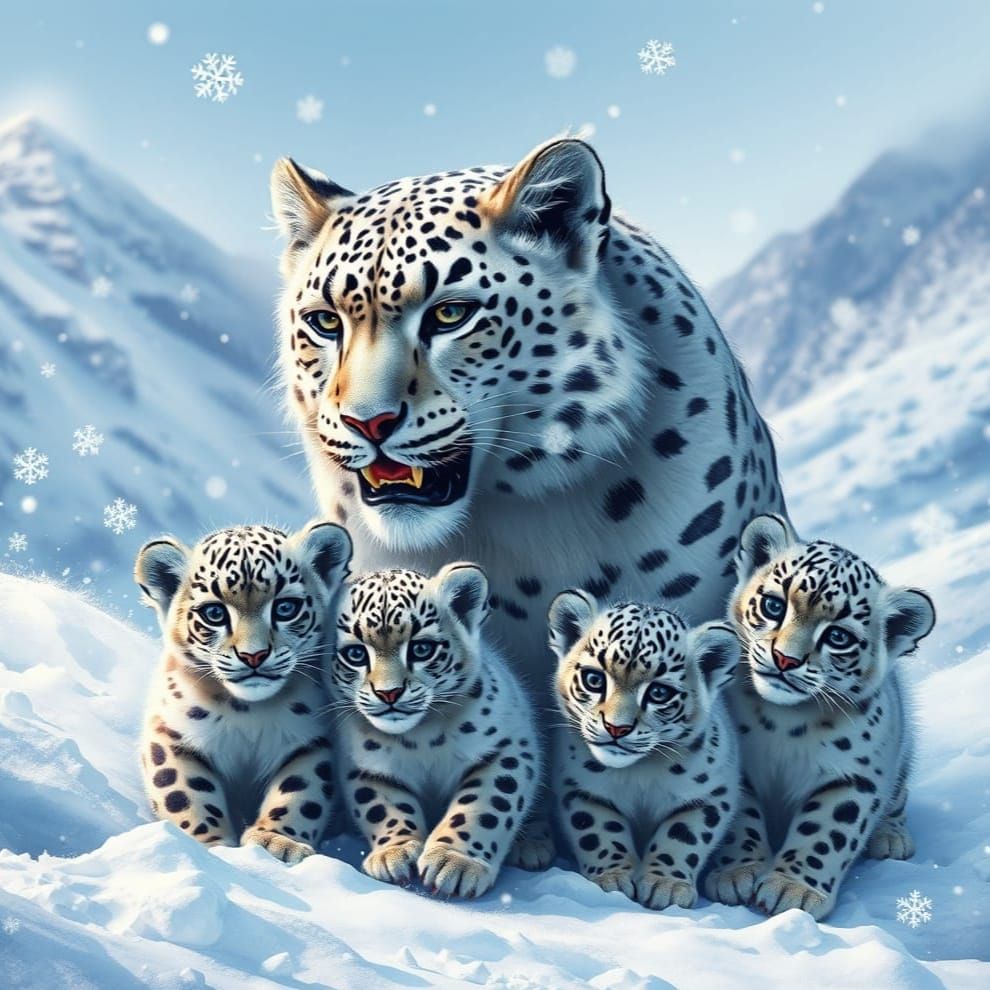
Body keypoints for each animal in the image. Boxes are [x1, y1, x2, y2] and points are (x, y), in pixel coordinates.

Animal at [135, 522, 352, 864]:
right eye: (214, 613)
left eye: (285, 608)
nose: (254, 656)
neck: (247, 712)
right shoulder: (172, 734)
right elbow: (183, 791)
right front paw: (210, 845)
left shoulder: (313, 740)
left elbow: (301, 790)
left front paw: (277, 842)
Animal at [328, 563, 543, 898]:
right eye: (355, 654)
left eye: (421, 648)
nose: (388, 693)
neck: (420, 740)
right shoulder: (366, 767)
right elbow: (381, 806)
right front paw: (395, 853)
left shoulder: (505, 748)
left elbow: (486, 804)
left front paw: (454, 864)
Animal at [547, 589, 740, 910]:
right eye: (594, 679)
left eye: (659, 692)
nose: (616, 728)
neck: (637, 775)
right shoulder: (581, 789)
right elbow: (598, 831)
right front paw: (613, 878)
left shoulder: (711, 794)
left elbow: (683, 835)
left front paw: (666, 885)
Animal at [704, 513, 936, 920]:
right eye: (774, 606)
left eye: (838, 637)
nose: (785, 659)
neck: (783, 724)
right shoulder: (736, 767)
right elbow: (740, 820)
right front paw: (736, 873)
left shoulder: (853, 777)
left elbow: (826, 832)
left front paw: (791, 890)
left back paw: (891, 837)